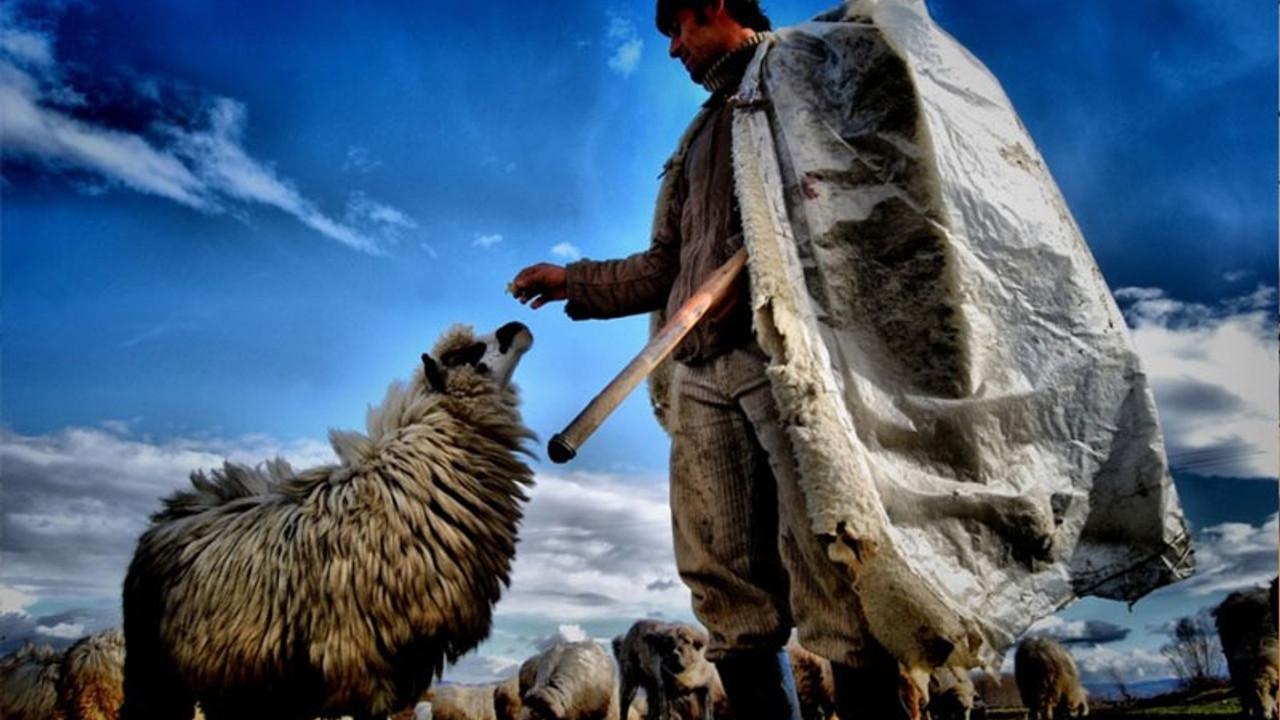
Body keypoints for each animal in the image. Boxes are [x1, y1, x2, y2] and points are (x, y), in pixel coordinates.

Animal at [120, 320, 535, 717]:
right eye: (463, 355)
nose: (518, 327)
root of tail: (167, 515)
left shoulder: (405, 661)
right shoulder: (360, 661)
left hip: (235, 680)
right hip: (155, 674)